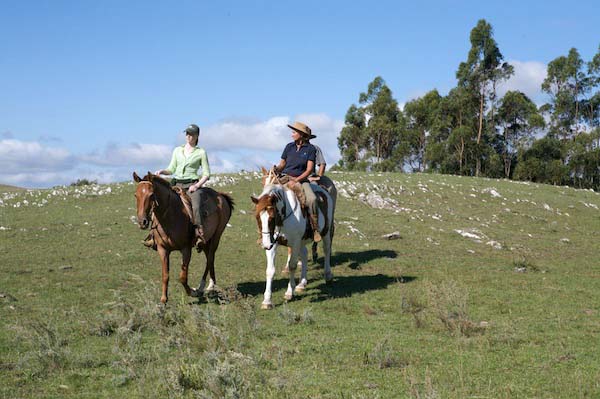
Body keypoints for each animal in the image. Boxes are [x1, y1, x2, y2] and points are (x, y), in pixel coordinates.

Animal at [134, 172, 234, 304]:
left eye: (151, 195)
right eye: (136, 195)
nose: (142, 222)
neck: (171, 216)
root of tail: (221, 196)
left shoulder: (186, 249)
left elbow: (182, 277)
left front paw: (192, 292)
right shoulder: (162, 249)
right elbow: (165, 275)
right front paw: (163, 300)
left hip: (216, 236)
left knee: (210, 258)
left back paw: (204, 286)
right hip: (206, 241)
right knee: (209, 258)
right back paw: (210, 285)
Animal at [248, 180, 332, 310]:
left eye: (272, 217)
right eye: (257, 217)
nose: (265, 244)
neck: (283, 218)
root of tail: (324, 191)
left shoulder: (295, 243)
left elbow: (292, 266)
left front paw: (289, 292)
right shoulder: (274, 244)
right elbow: (270, 270)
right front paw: (267, 301)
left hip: (325, 232)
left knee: (327, 249)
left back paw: (327, 275)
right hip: (302, 241)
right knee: (304, 254)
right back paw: (301, 284)